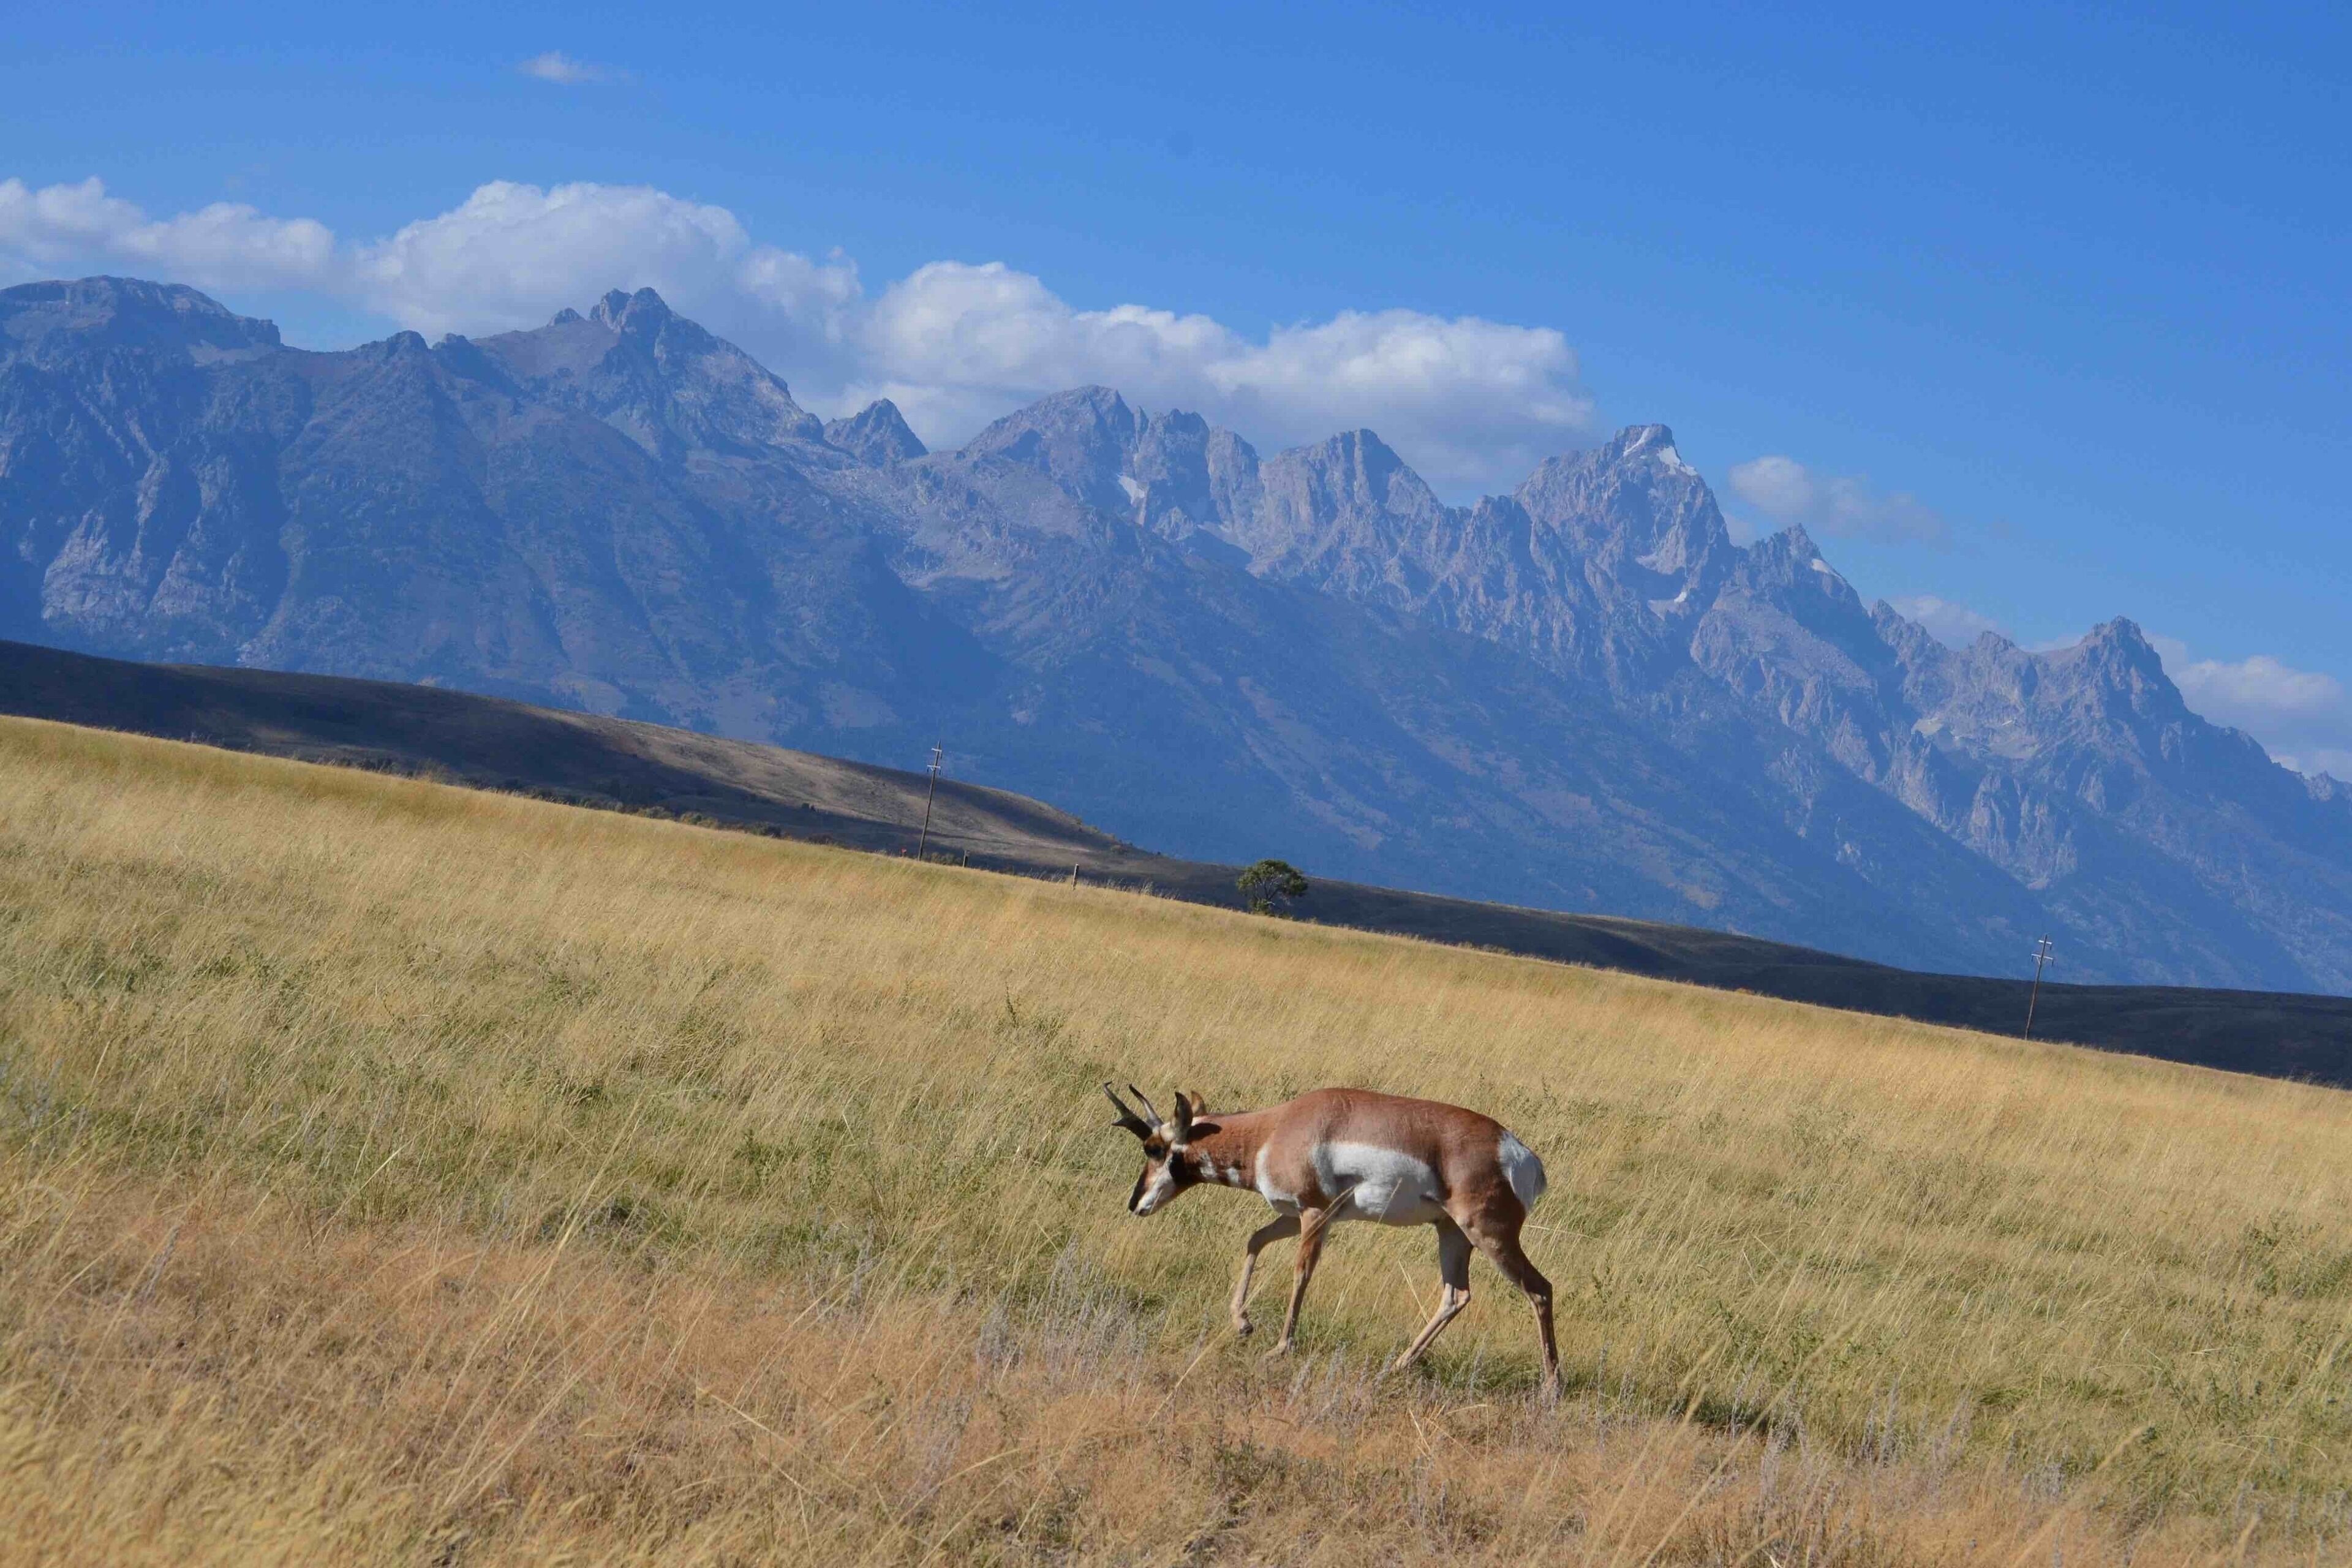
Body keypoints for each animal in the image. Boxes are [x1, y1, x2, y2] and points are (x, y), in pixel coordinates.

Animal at [1103, 1082, 1561, 1399]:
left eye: (1154, 1148)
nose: (1135, 1204)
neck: (1275, 1129)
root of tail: (1521, 1156)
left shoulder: (1315, 1215)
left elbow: (1301, 1273)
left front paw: (1279, 1348)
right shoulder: (1294, 1215)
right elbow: (1254, 1241)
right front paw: (1243, 1323)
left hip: (1489, 1236)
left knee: (1540, 1289)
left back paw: (1551, 1387)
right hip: (1451, 1234)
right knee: (1456, 1295)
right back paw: (1398, 1365)